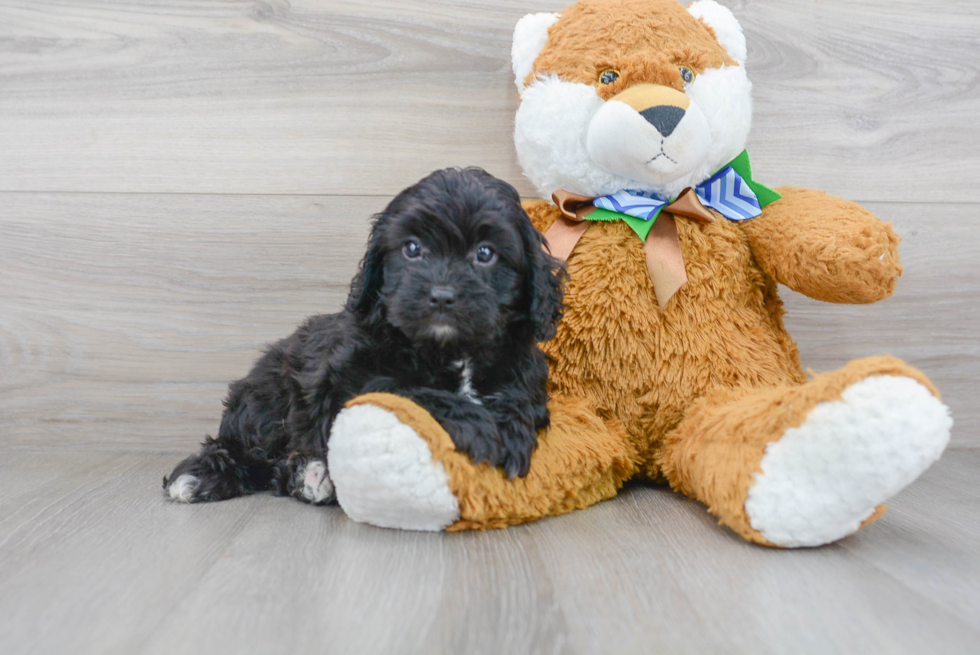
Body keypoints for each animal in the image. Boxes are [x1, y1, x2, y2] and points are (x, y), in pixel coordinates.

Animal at [164, 167, 564, 504]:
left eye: (485, 253)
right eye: (412, 248)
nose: (441, 295)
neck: (451, 349)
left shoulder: (525, 376)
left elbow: (520, 403)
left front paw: (510, 431)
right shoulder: (344, 384)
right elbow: (407, 391)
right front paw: (475, 424)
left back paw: (309, 476)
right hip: (267, 396)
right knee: (246, 448)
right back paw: (205, 477)